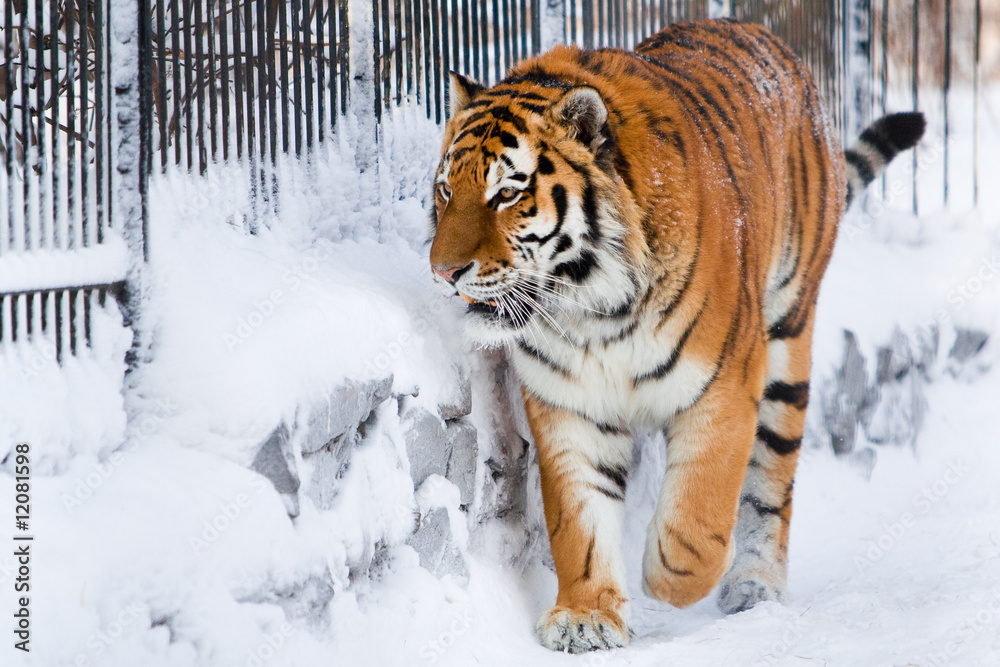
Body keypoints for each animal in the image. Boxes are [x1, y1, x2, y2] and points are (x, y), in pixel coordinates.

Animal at [427, 17, 925, 653]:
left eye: (507, 194)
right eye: (446, 190)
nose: (443, 271)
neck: (592, 309)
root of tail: (766, 38)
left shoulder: (725, 384)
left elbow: (700, 512)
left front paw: (674, 577)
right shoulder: (570, 405)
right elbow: (579, 521)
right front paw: (587, 615)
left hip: (789, 337)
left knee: (773, 479)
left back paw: (754, 582)